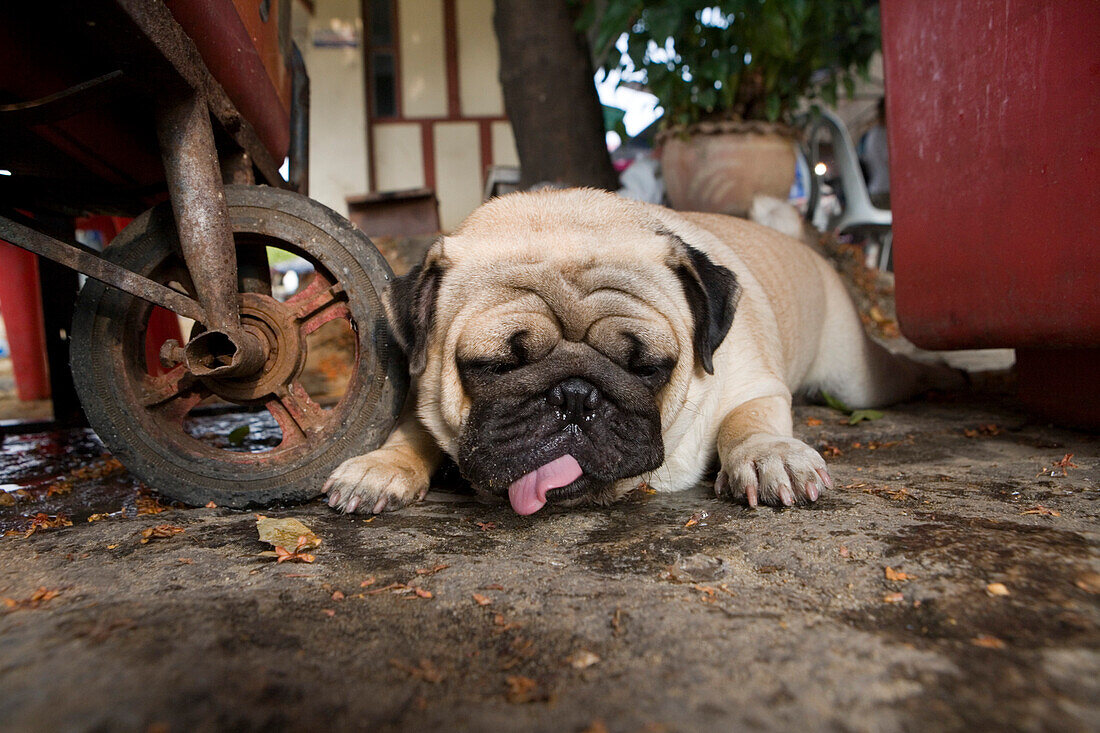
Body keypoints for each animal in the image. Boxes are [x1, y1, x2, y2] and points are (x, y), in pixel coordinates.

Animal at [323, 187, 954, 512]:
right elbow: (413, 428)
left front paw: (770, 455)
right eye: (494, 367)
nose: (574, 397)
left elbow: (749, 422)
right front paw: (383, 466)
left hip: (857, 380)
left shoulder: (755, 386)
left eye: (647, 368)